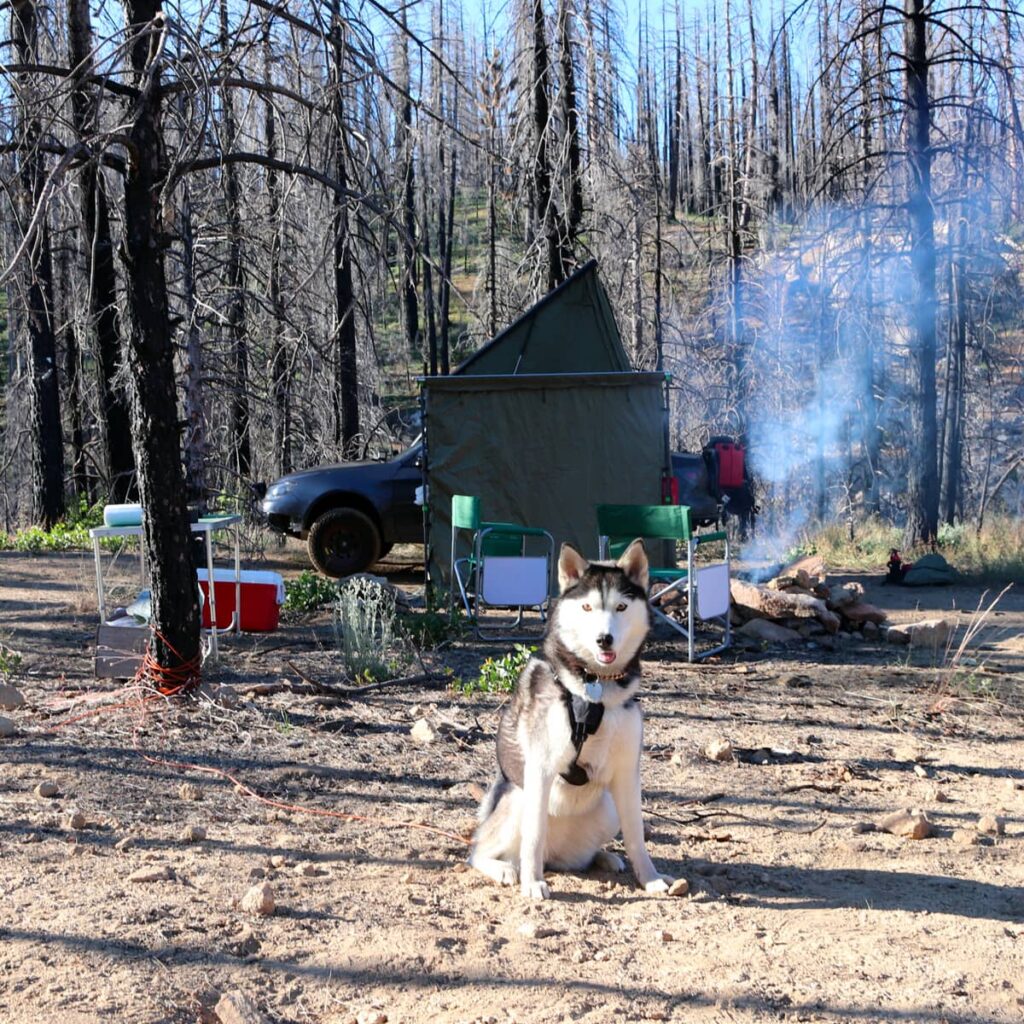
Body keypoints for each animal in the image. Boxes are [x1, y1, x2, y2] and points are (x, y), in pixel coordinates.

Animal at [468, 540, 675, 901]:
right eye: (588, 607)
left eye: (621, 607)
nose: (604, 639)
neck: (595, 688)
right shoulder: (540, 767)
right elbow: (534, 835)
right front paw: (532, 883)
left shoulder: (627, 773)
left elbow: (636, 834)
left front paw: (649, 879)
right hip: (519, 797)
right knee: (481, 849)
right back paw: (507, 869)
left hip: (607, 808)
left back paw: (604, 857)